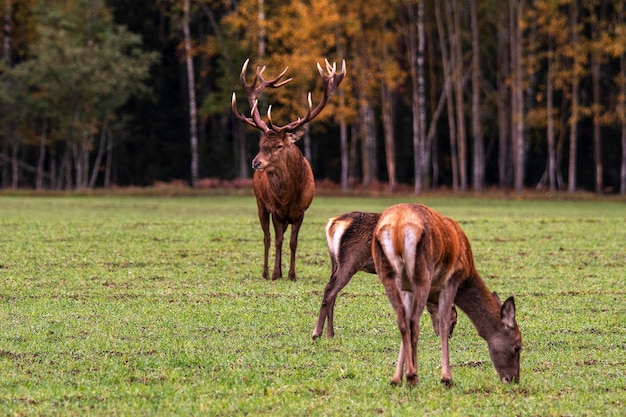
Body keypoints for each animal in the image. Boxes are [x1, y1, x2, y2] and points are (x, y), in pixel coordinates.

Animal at [230, 57, 346, 280]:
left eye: (279, 145)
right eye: (260, 144)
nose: (256, 163)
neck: (288, 197)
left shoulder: (301, 212)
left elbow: (293, 242)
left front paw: (292, 274)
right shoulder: (276, 210)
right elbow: (277, 241)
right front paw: (276, 273)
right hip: (260, 203)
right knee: (267, 238)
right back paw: (266, 272)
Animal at [312, 213, 458, 340]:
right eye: (454, 320)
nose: (447, 336)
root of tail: (333, 223)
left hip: (335, 262)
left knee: (333, 294)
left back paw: (330, 334)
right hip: (350, 260)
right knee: (330, 289)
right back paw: (316, 334)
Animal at [370, 203, 520, 386]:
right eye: (517, 347)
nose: (513, 379)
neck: (467, 274)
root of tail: (397, 227)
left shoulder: (408, 288)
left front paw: (396, 378)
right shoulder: (452, 280)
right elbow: (444, 323)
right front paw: (446, 378)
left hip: (387, 274)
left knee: (403, 321)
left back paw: (401, 378)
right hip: (423, 274)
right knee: (414, 322)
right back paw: (413, 377)